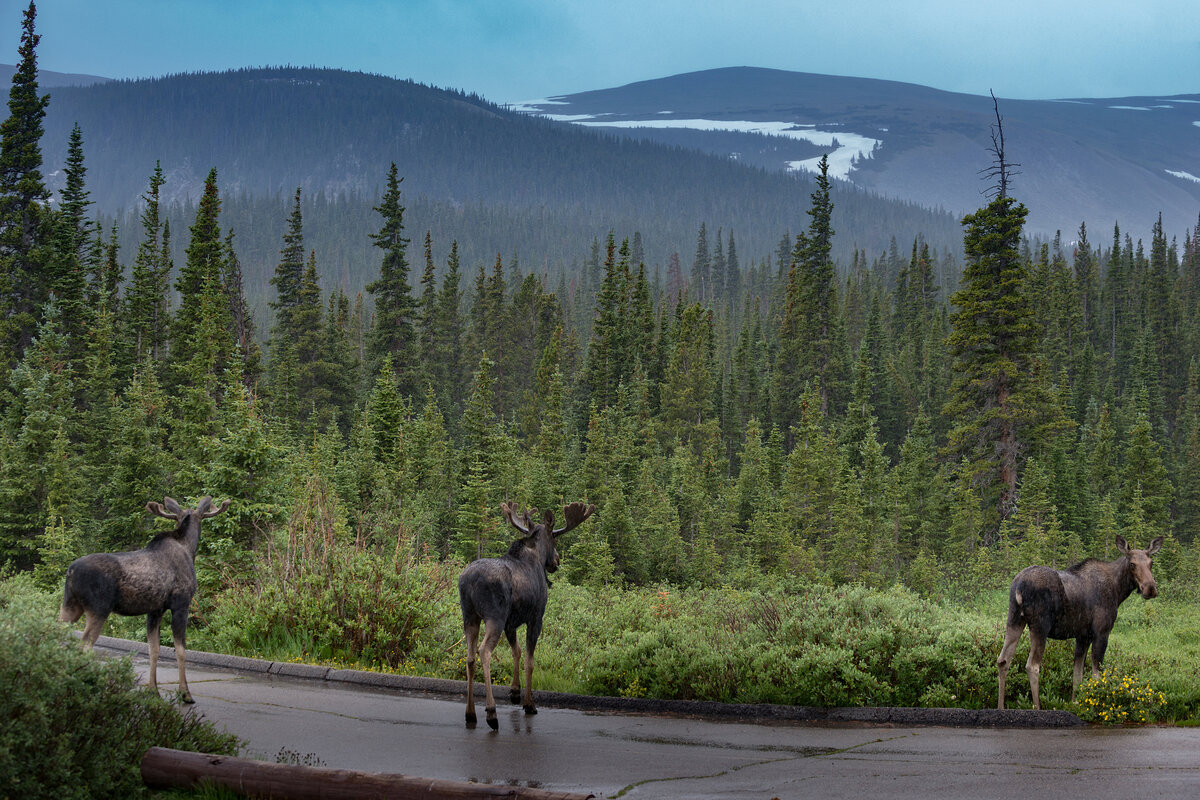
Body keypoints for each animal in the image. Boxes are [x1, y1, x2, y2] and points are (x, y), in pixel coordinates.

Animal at [57, 496, 230, 705]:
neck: (189, 548)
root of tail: (71, 571)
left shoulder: (155, 610)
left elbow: (153, 649)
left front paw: (153, 690)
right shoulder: (181, 604)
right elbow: (180, 650)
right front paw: (185, 693)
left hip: (70, 605)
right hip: (98, 608)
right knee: (84, 646)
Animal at [998, 534, 1166, 710]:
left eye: (1151, 563)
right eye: (1132, 564)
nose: (1150, 588)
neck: (1118, 591)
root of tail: (1018, 586)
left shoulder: (1082, 636)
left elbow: (1077, 676)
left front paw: (1076, 703)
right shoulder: (1101, 632)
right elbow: (1097, 675)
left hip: (1014, 619)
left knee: (1003, 660)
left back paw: (1000, 707)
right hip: (1040, 626)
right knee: (1032, 665)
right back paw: (1037, 707)